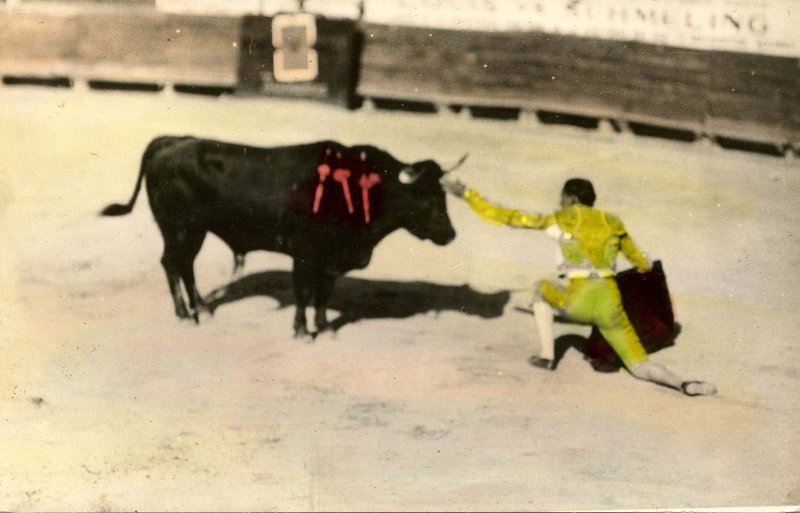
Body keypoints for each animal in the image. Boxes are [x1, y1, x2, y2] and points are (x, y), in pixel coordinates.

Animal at [101, 136, 462, 336]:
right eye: (425, 196)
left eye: (443, 194)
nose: (450, 234)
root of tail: (170, 142)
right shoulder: (304, 252)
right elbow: (303, 291)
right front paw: (302, 330)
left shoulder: (329, 258)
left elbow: (323, 294)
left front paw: (324, 328)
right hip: (179, 228)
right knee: (172, 264)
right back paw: (184, 315)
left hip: (193, 231)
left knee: (185, 266)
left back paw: (202, 309)